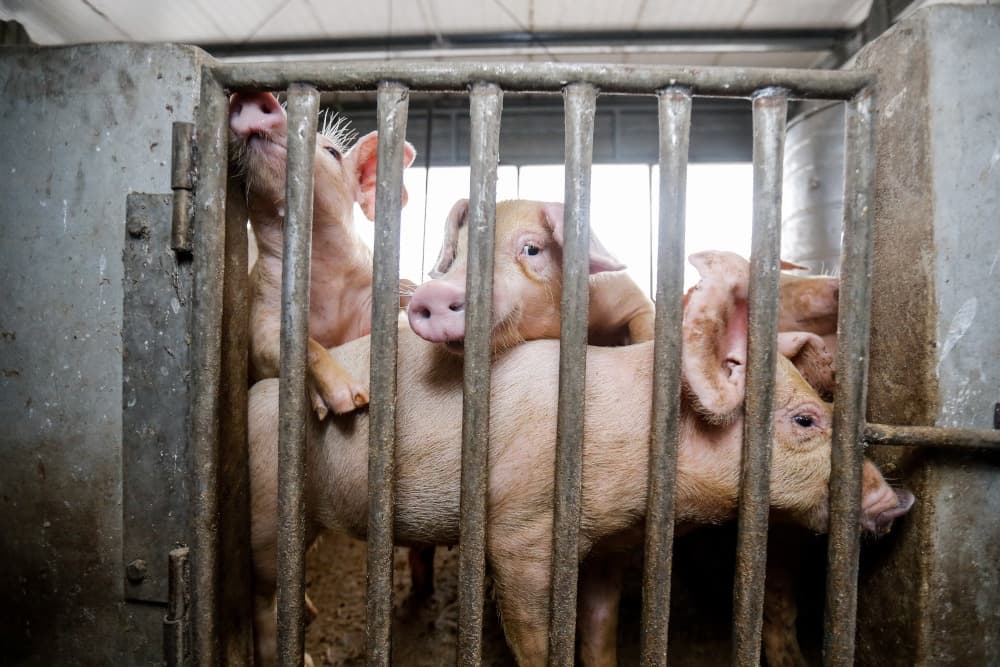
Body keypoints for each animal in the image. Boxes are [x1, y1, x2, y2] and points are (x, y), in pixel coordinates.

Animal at [246, 251, 914, 666]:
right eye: (805, 421)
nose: (897, 499)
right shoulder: (516, 532)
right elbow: (534, 629)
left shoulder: (610, 545)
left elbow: (598, 626)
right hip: (268, 509)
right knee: (260, 594)